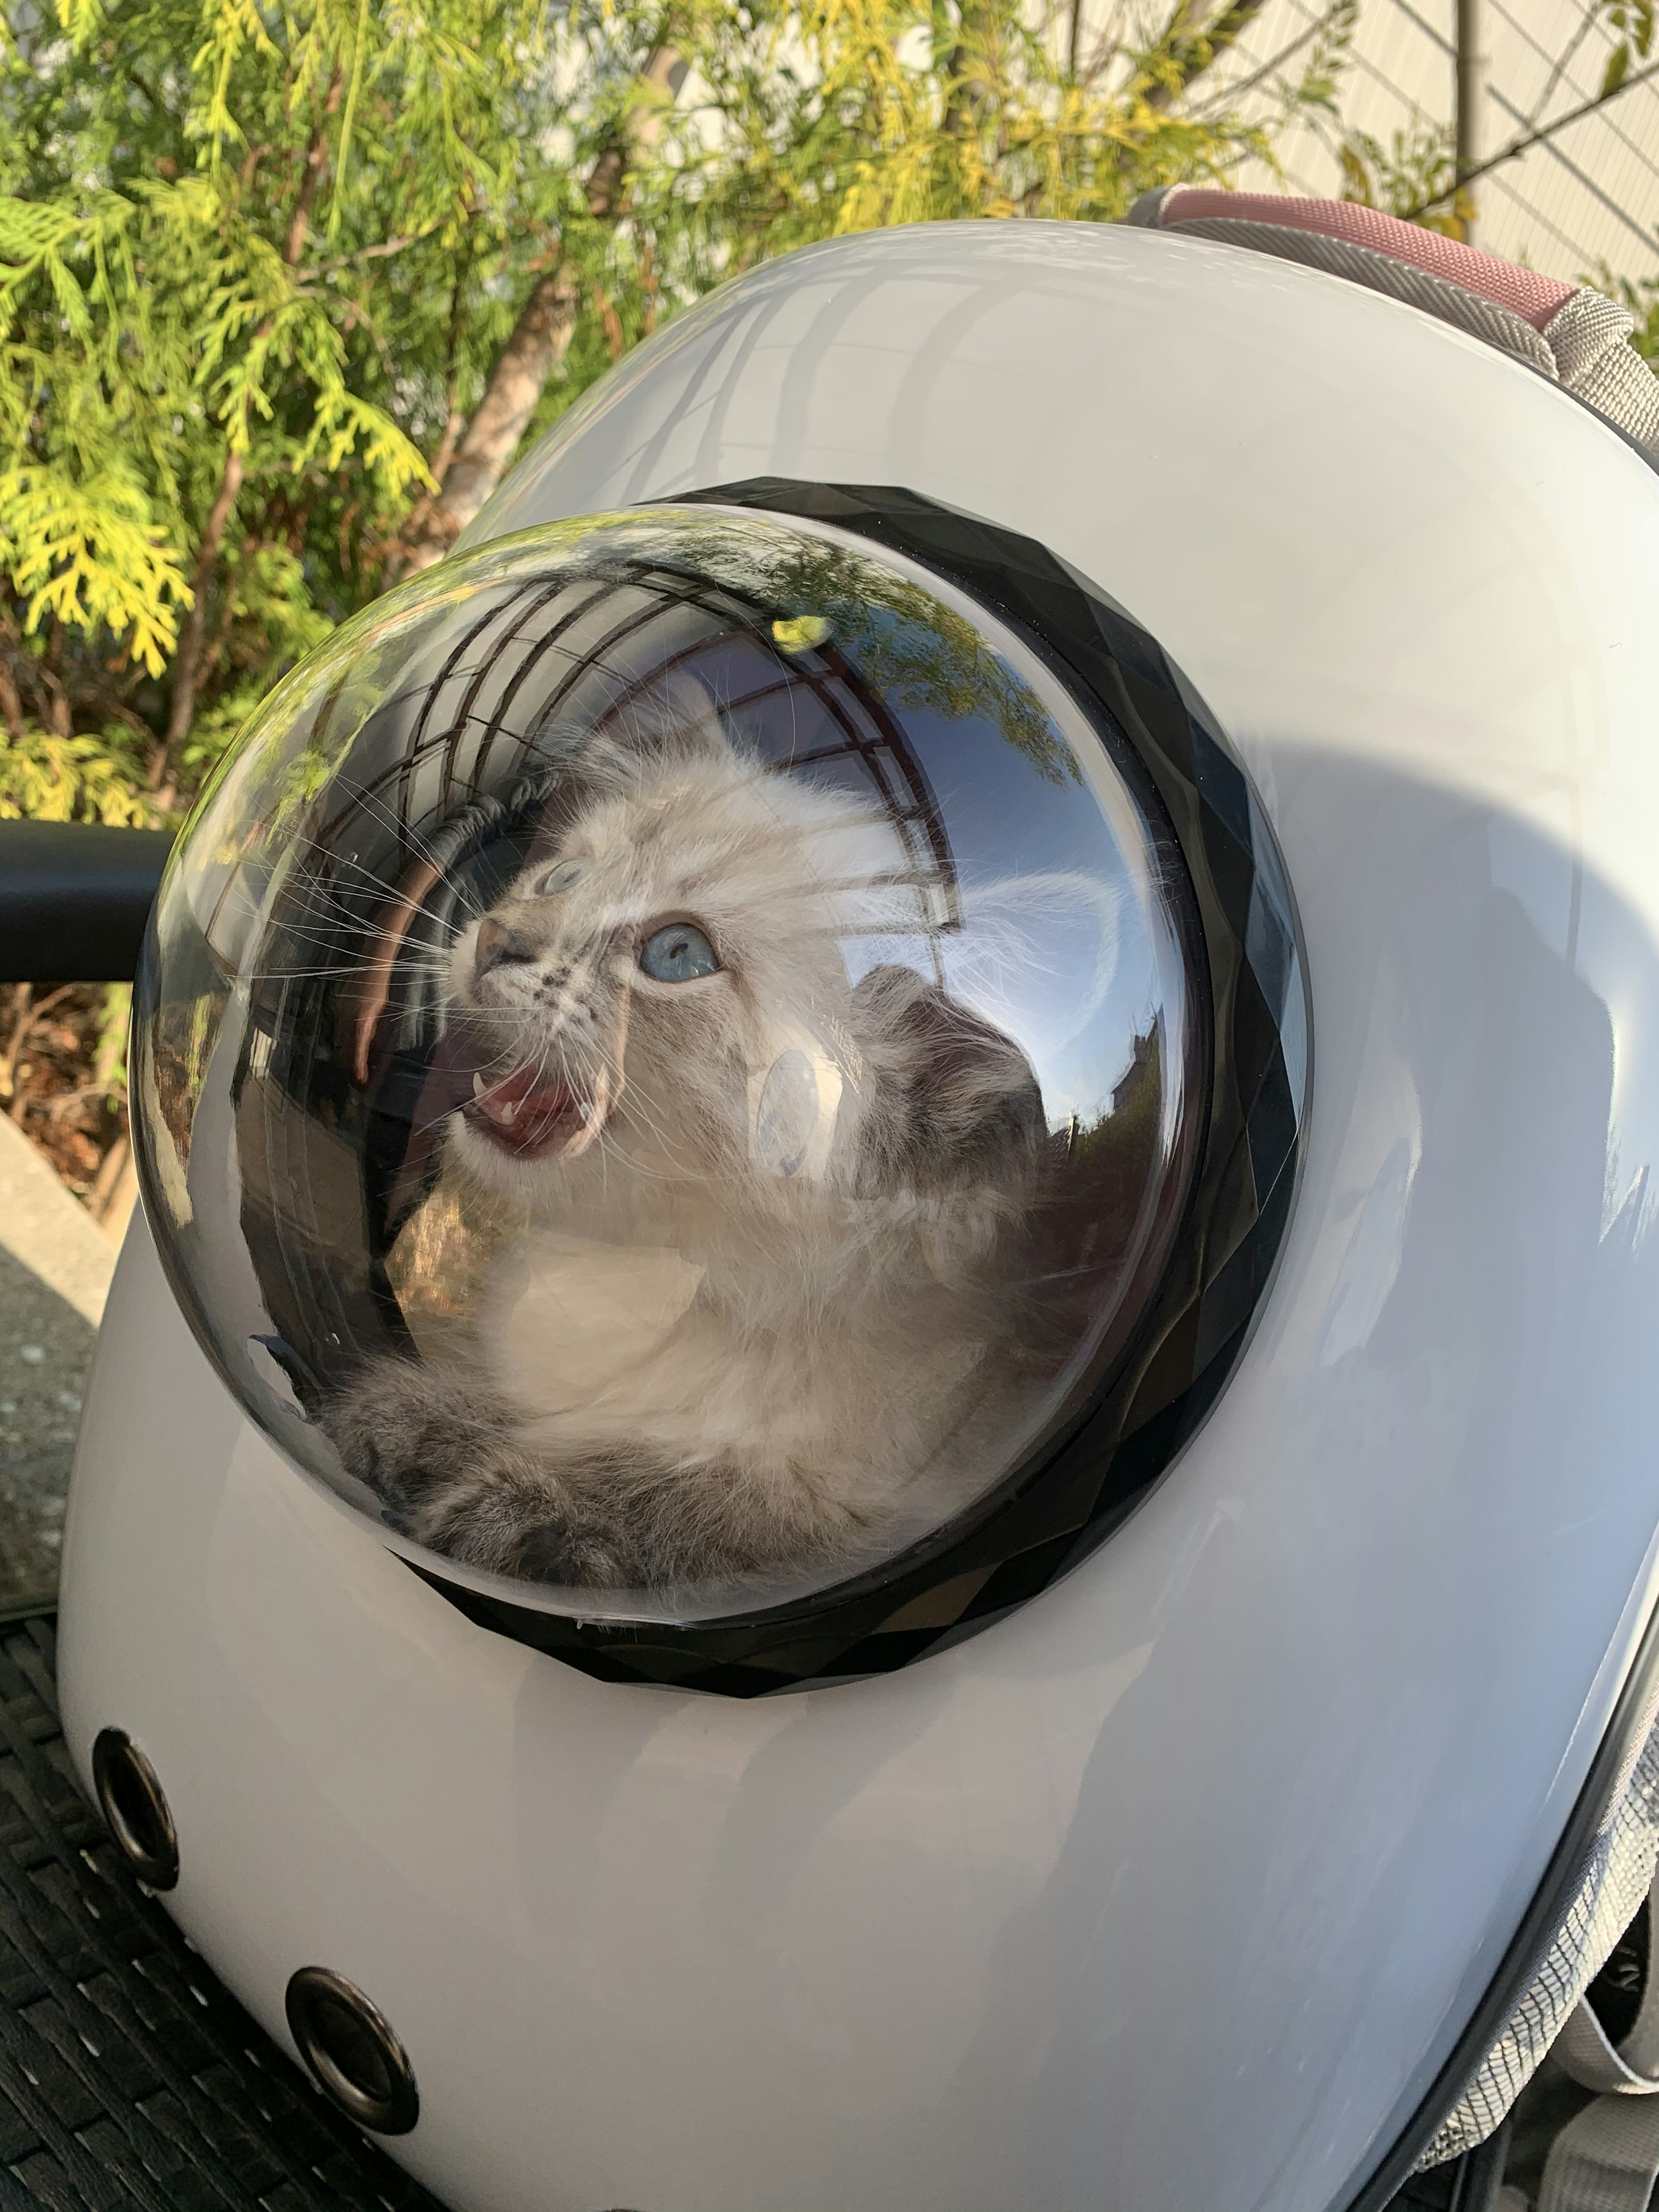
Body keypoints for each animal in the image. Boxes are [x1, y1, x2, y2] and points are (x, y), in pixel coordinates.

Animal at [327, 690, 1053, 1592]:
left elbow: (673, 1486)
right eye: (563, 878)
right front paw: (414, 1416)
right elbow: (551, 1411)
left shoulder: (893, 1490)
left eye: (678, 955)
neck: (672, 1279)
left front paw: (516, 1511)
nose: (494, 936)